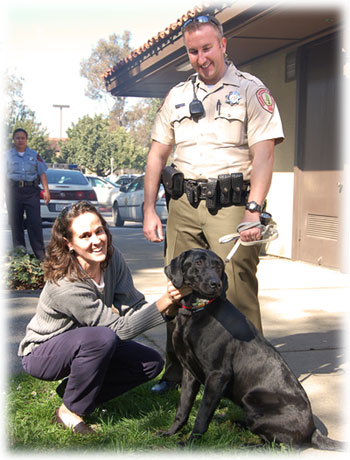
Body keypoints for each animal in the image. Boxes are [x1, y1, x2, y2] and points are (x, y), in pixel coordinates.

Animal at [163, 250, 344, 452]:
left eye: (219, 266)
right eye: (198, 262)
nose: (216, 283)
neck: (196, 311)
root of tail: (312, 432)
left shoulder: (217, 375)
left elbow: (202, 415)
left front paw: (191, 443)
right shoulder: (189, 372)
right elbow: (183, 408)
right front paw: (170, 433)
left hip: (251, 399)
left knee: (276, 445)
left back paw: (247, 444)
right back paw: (233, 422)